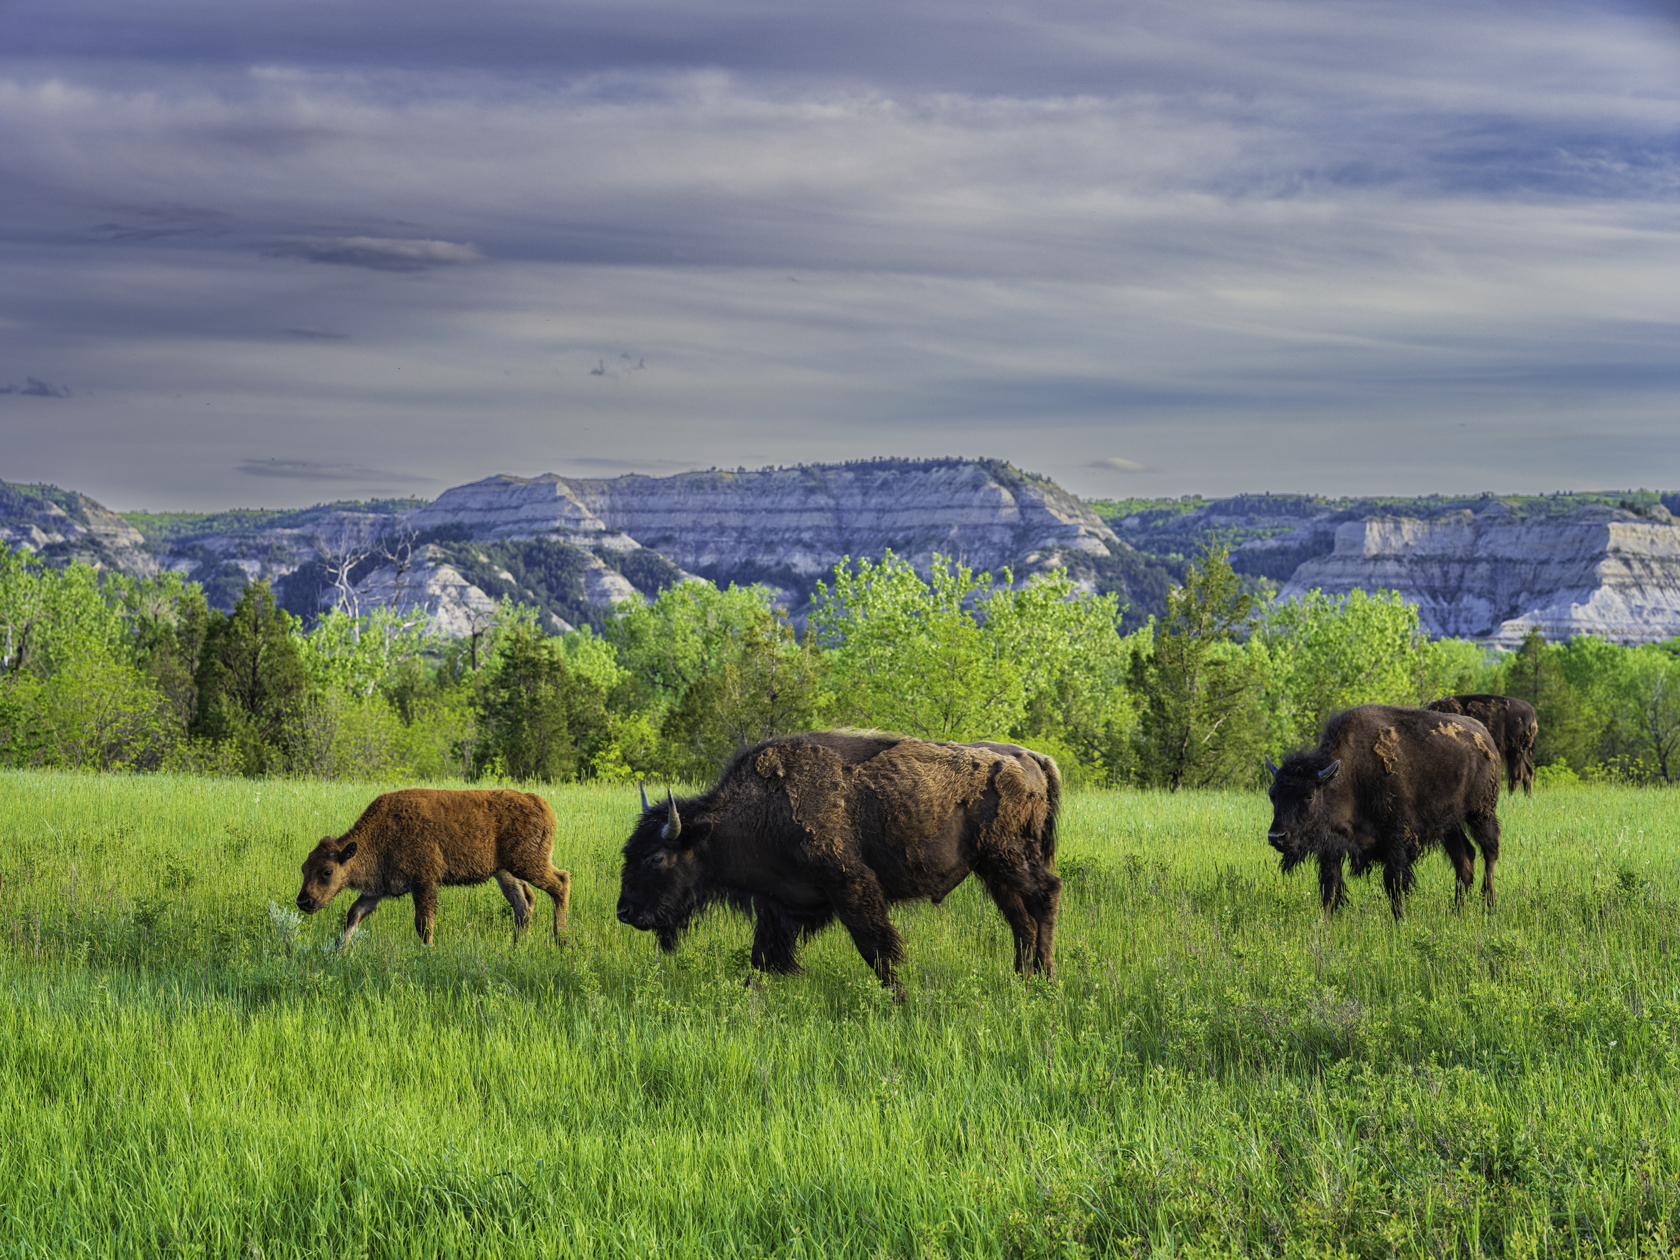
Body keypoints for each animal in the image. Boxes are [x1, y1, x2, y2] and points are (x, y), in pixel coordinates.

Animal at [295, 789, 571, 947]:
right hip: (505, 873)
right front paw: (338, 952)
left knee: (560, 883)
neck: (381, 833)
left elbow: (423, 923)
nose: (303, 901)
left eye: (327, 871)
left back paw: (562, 942)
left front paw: (427, 953)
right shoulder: (376, 890)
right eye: (303, 869)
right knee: (523, 904)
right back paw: (517, 948)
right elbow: (353, 915)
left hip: (528, 863)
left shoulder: (424, 882)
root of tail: (540, 803)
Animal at [618, 729, 1061, 994]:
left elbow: (876, 949)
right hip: (994, 871)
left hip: (1009, 859)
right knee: (1021, 919)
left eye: (656, 857)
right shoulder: (778, 904)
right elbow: (761, 957)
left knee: (1046, 895)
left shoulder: (851, 887)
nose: (625, 912)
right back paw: (1021, 979)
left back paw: (1045, 977)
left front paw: (900, 1001)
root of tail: (1032, 757)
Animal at [1263, 705, 1505, 920]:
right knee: (1465, 858)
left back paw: (1489, 903)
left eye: (1309, 795)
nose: (1276, 837)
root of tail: (1485, 737)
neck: (1346, 778)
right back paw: (1456, 912)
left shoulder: (1397, 839)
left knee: (1489, 851)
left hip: (1481, 813)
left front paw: (1399, 921)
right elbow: (1330, 886)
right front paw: (1324, 924)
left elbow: (1393, 882)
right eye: (1272, 794)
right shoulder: (1332, 847)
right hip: (1449, 825)